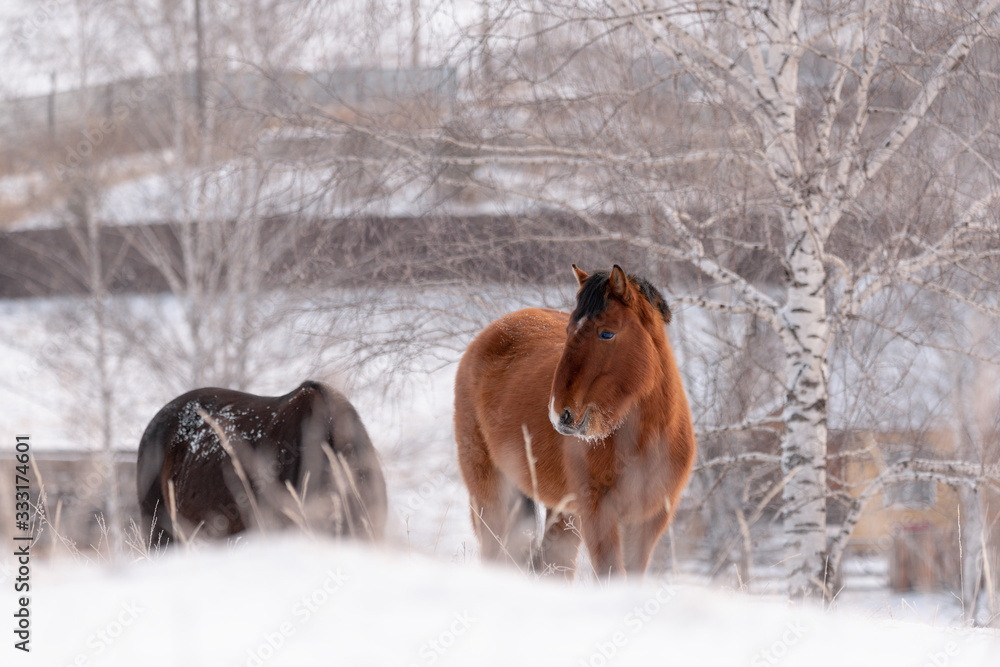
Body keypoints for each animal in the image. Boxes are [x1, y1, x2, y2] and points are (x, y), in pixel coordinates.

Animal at [456, 266, 696, 580]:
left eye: (607, 333)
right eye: (568, 330)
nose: (561, 414)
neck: (644, 439)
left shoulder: (649, 520)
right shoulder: (598, 516)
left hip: (561, 514)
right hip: (493, 496)